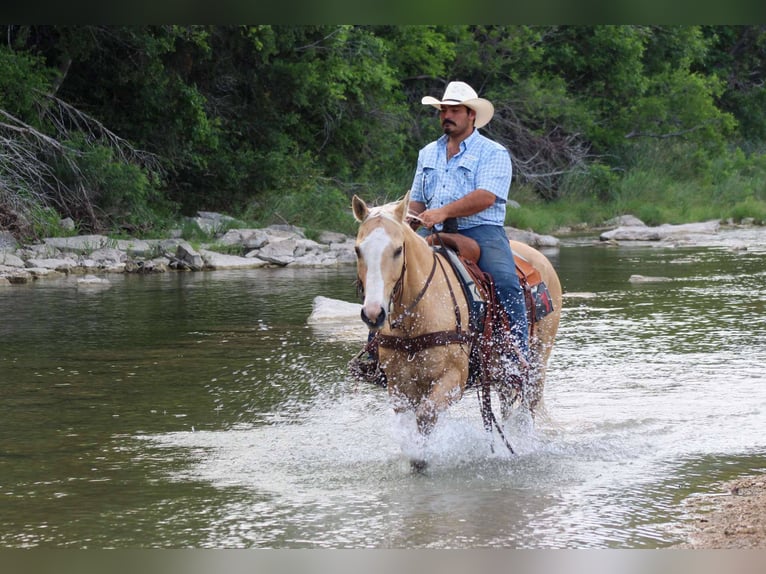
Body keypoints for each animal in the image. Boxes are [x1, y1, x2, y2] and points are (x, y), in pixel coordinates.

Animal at [351, 192, 562, 464]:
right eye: (358, 250)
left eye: (398, 250)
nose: (373, 314)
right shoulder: (399, 386)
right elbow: (409, 426)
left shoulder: (453, 380)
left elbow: (426, 415)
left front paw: (421, 460)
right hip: (502, 373)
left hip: (537, 361)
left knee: (528, 409)